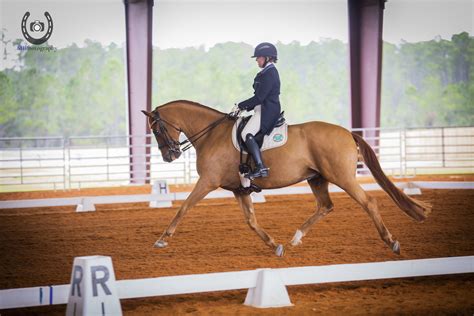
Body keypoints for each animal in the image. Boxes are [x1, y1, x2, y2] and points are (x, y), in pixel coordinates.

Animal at [140, 101, 430, 256]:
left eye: (157, 129)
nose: (170, 156)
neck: (211, 134)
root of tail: (347, 132)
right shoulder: (239, 190)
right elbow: (251, 221)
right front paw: (274, 245)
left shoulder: (207, 182)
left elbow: (184, 207)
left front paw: (162, 238)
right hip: (317, 178)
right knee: (325, 206)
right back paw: (295, 238)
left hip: (342, 177)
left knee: (368, 202)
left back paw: (392, 242)